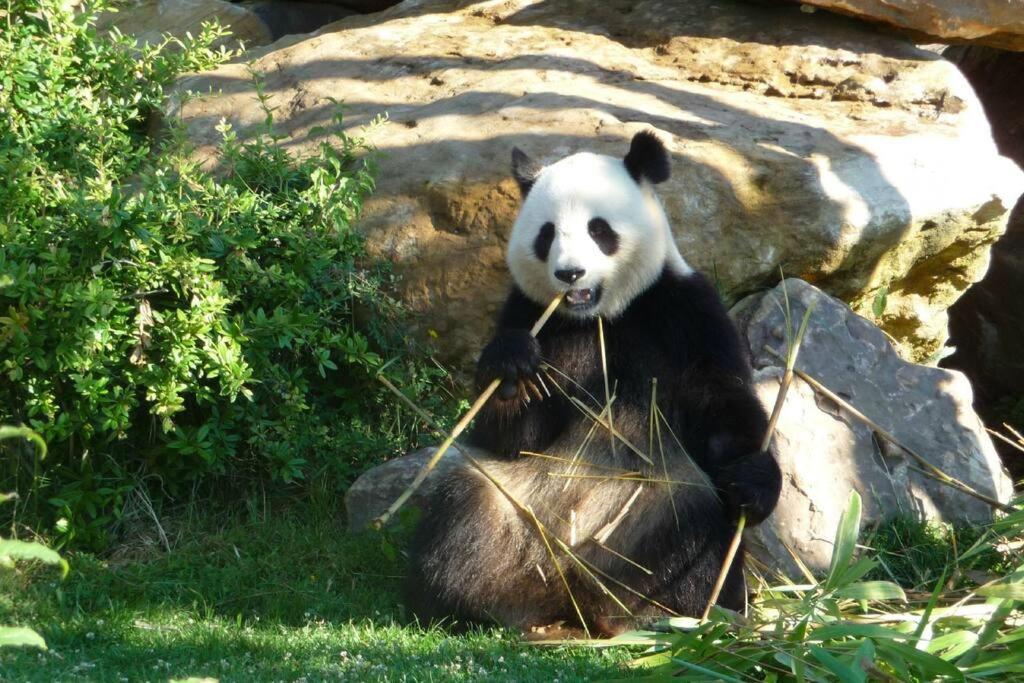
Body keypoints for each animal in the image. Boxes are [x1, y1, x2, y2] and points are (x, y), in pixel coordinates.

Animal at [403, 132, 778, 634]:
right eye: (546, 234)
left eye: (599, 230)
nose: (570, 273)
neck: (598, 317)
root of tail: (573, 591)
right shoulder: (529, 313)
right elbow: (512, 437)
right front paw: (512, 369)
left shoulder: (683, 311)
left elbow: (723, 407)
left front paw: (753, 482)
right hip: (514, 507)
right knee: (466, 508)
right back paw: (472, 604)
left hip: (652, 519)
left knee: (697, 535)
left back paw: (668, 613)